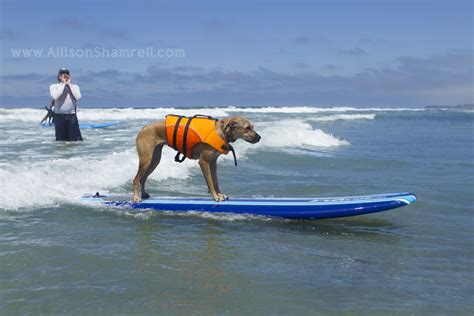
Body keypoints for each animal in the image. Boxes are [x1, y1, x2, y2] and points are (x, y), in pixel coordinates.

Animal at [131, 116, 262, 202]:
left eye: (252, 127)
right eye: (247, 128)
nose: (259, 138)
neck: (222, 132)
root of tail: (143, 128)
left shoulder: (213, 162)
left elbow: (215, 181)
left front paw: (219, 194)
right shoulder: (203, 162)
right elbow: (210, 182)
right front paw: (215, 197)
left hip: (155, 160)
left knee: (143, 178)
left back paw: (143, 194)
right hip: (146, 159)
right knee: (136, 179)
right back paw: (136, 197)